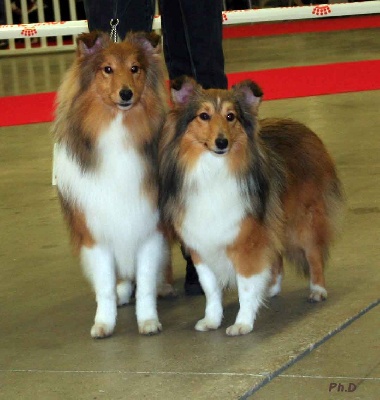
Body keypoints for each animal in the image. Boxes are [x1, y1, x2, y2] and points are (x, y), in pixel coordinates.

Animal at [53, 30, 172, 338]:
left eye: (135, 68)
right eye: (107, 69)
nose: (126, 93)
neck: (119, 129)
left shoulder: (149, 228)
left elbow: (145, 284)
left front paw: (148, 320)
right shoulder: (96, 232)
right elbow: (105, 286)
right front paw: (104, 323)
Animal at [159, 76, 342, 336]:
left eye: (230, 116)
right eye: (204, 116)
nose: (222, 142)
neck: (213, 170)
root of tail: (304, 128)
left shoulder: (247, 240)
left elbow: (245, 286)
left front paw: (242, 323)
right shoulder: (202, 245)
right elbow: (210, 289)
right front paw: (212, 320)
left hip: (302, 221)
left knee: (313, 254)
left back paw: (317, 290)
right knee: (276, 256)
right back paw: (270, 288)